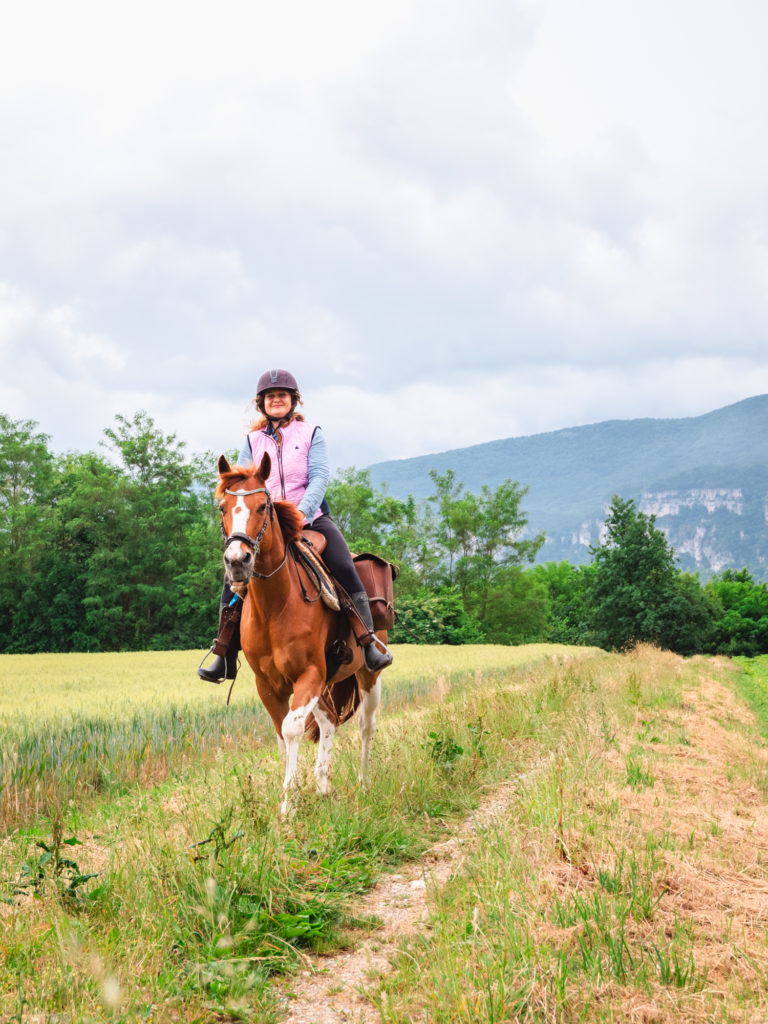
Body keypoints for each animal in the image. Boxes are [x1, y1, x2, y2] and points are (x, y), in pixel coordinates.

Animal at [215, 453, 389, 813]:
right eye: (223, 507)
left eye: (262, 506)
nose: (237, 560)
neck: (275, 605)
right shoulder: (269, 684)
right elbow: (282, 736)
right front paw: (294, 796)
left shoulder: (309, 673)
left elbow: (292, 729)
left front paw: (288, 803)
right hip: (323, 686)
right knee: (329, 722)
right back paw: (323, 784)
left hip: (367, 675)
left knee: (366, 726)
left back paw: (363, 786)